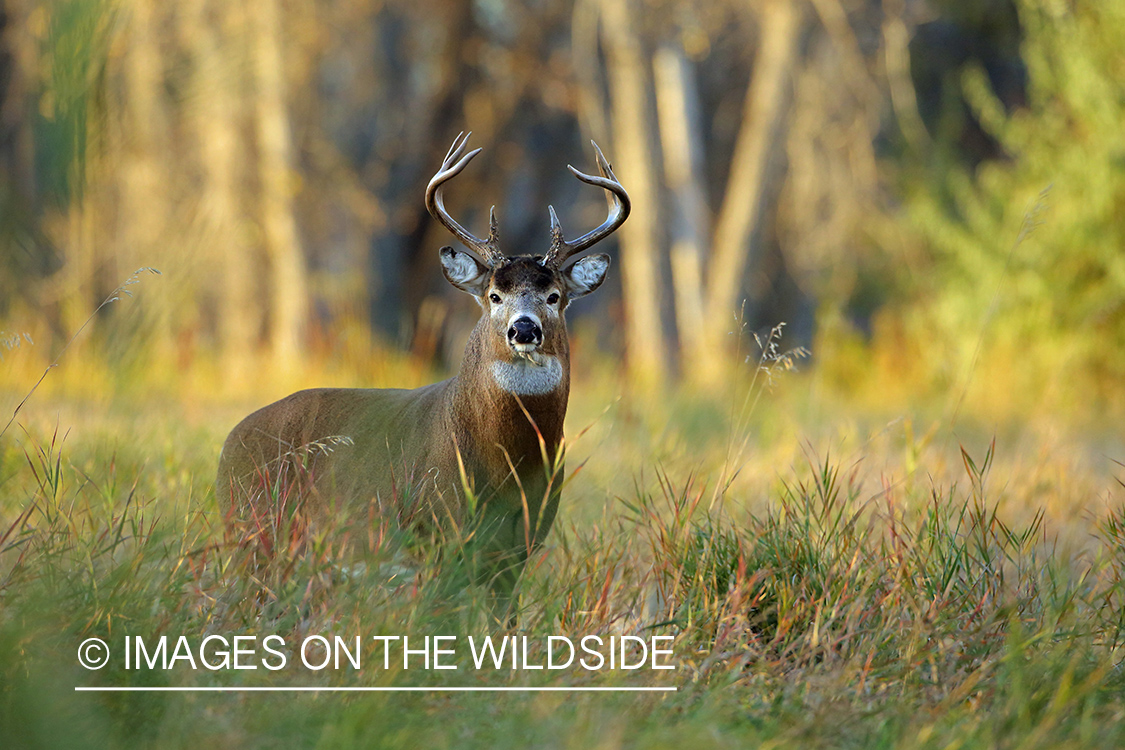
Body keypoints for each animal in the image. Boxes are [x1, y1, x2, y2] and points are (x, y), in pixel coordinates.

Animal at [214, 133, 630, 602]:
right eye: (493, 295)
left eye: (555, 296)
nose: (524, 328)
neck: (506, 465)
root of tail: (228, 445)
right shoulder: (433, 532)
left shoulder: (517, 549)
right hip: (250, 532)